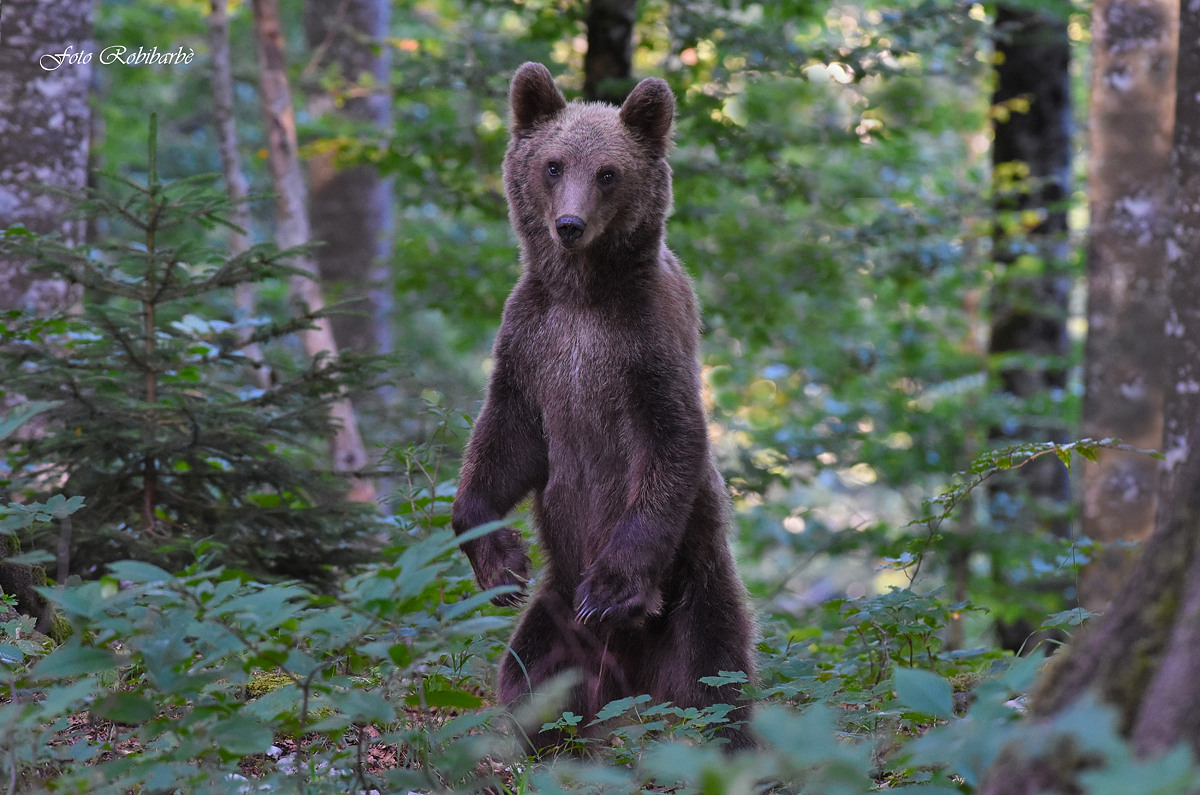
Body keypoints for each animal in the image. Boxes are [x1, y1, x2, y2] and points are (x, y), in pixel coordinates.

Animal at [451, 61, 755, 752]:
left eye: (609, 172)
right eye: (553, 164)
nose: (569, 225)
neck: (583, 294)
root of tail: (631, 679)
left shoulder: (643, 345)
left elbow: (670, 444)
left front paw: (612, 588)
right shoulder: (533, 344)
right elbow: (504, 442)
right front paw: (500, 562)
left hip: (694, 594)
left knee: (714, 689)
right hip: (558, 618)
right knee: (531, 681)